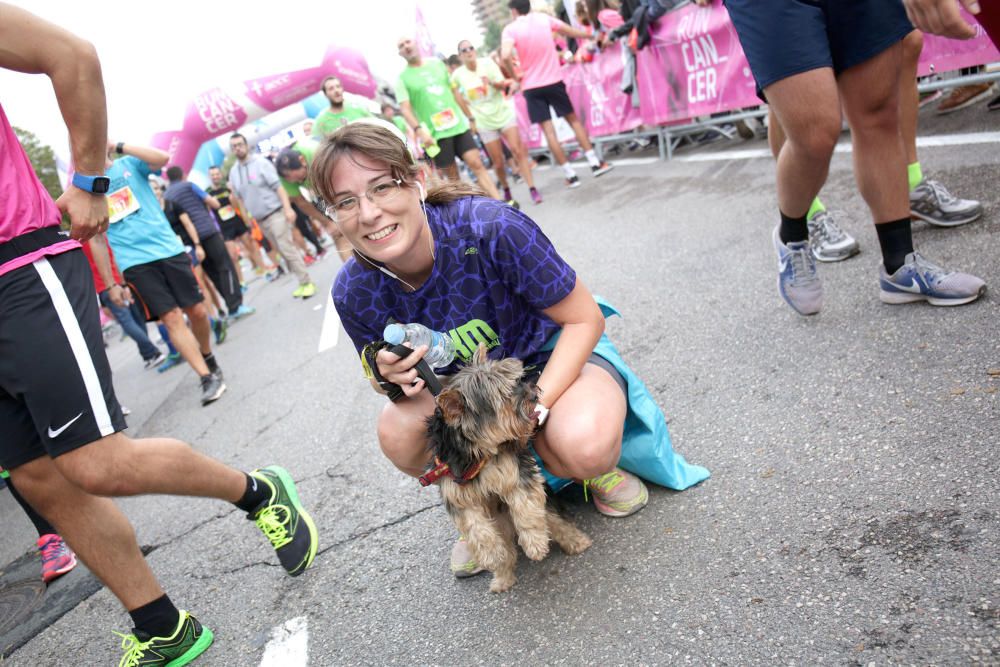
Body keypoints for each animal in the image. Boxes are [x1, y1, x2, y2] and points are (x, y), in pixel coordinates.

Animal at [420, 348, 588, 592]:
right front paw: (491, 556)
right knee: (506, 549)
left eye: (515, 380)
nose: (533, 393)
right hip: (501, 525)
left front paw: (535, 544)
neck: (478, 454)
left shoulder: (516, 474)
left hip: (545, 509)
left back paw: (576, 542)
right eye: (502, 396)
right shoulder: (457, 493)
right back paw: (502, 578)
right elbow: (476, 528)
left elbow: (525, 508)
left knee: (555, 522)